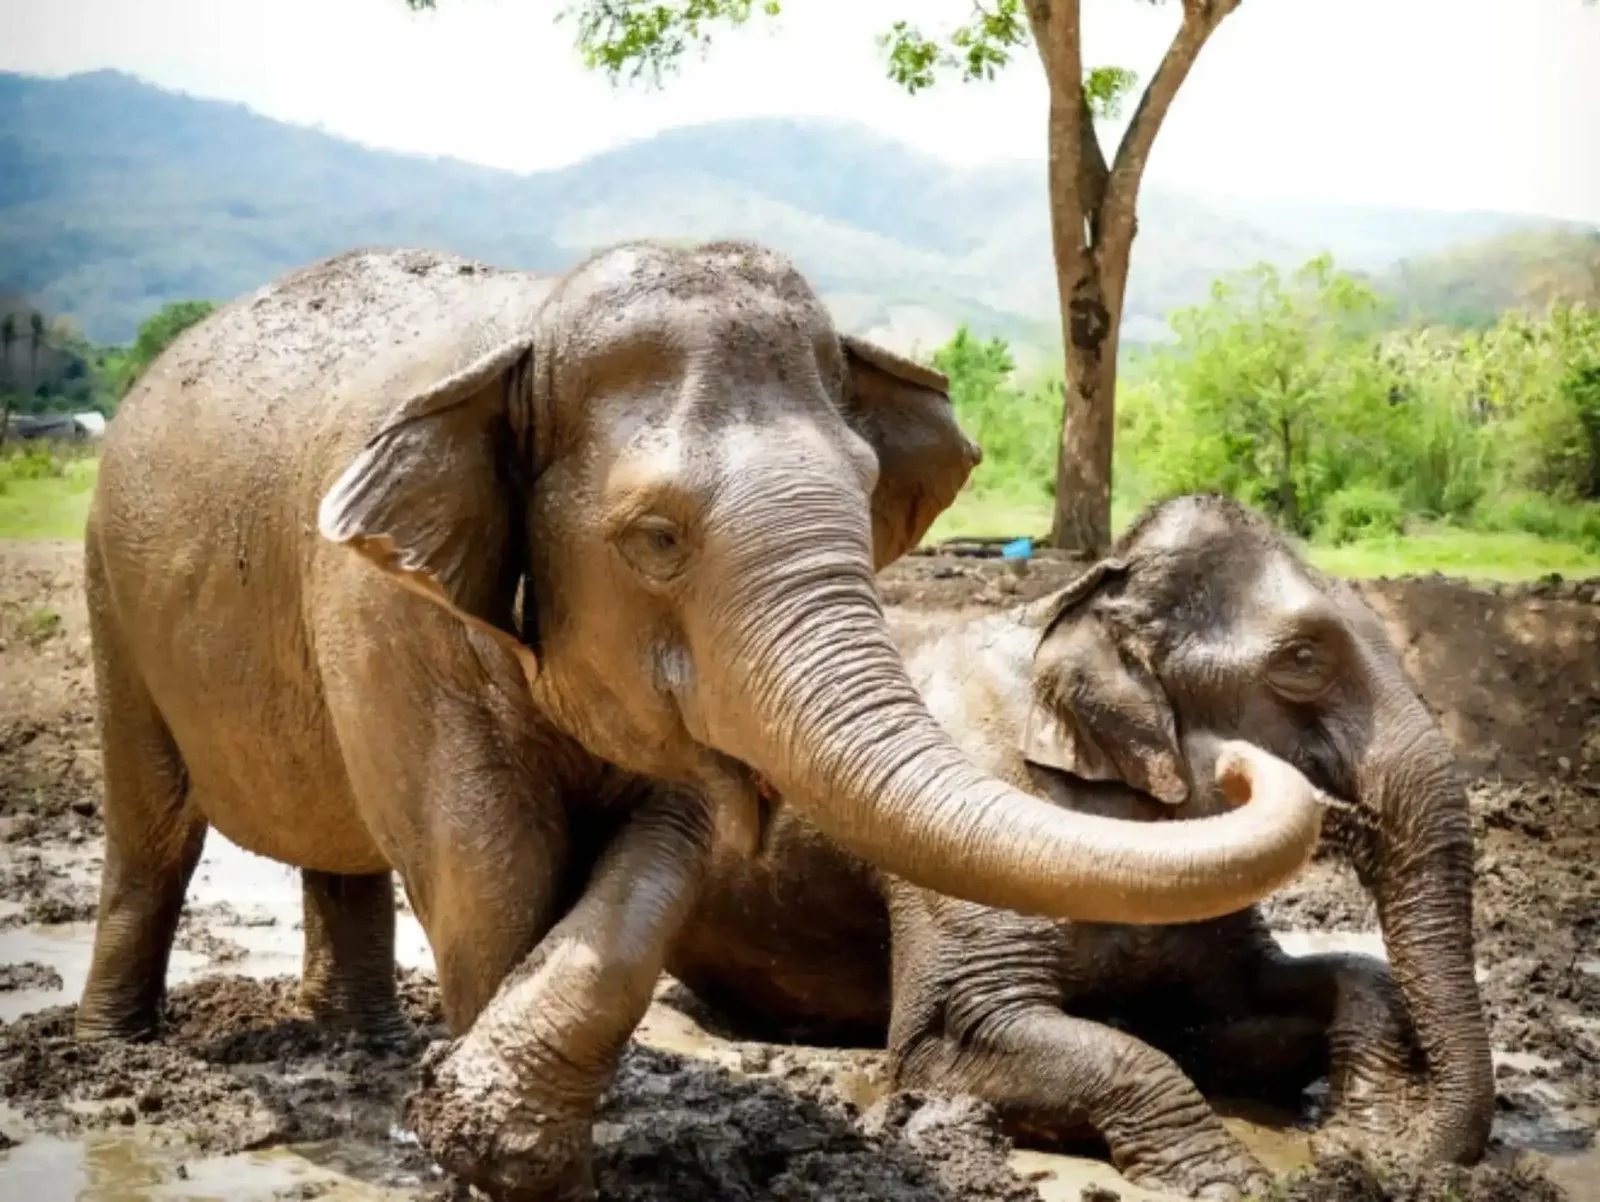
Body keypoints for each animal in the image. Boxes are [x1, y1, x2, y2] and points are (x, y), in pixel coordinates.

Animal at [78, 241, 1326, 1201]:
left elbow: (664, 843)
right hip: (113, 589)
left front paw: (494, 1127)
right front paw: (483, 1146)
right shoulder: (383, 605)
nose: (1238, 763)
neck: (534, 317)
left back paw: (366, 1046)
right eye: (656, 538)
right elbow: (489, 864)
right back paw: (110, 1053)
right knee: (153, 828)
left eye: (867, 493)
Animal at [667, 494, 1495, 1200]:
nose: (1407, 1167)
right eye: (1302, 659)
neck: (1075, 604)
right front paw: (1236, 1183)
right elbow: (952, 1038)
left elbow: (1246, 1006)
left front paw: (1367, 1137)